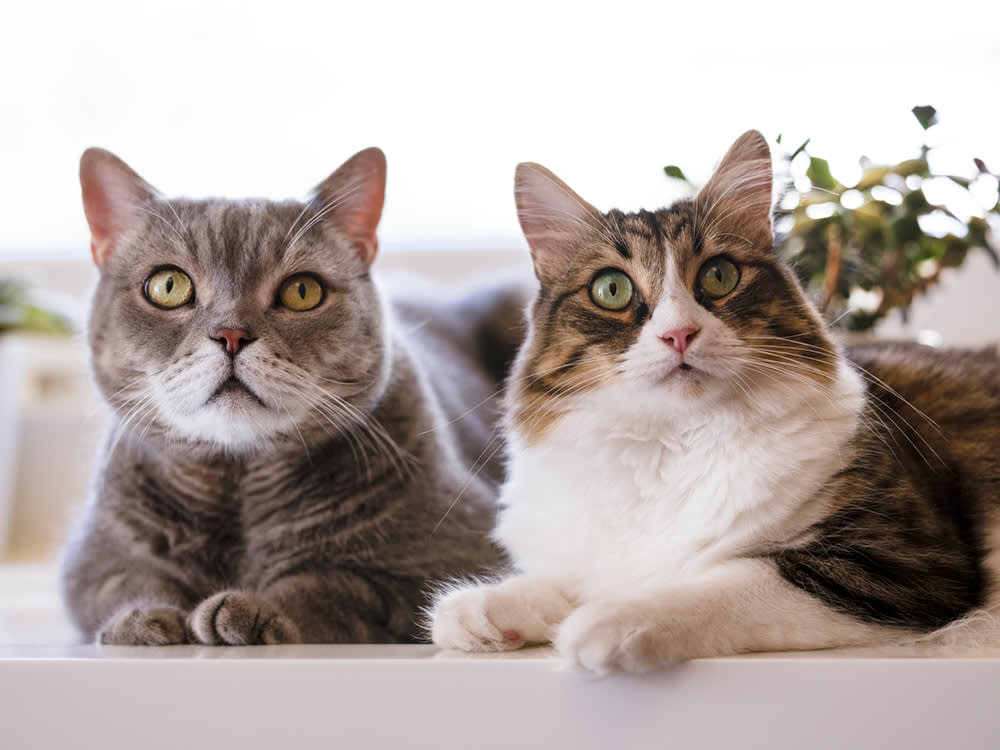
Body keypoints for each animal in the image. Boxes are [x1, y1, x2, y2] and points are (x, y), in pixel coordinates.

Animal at [430, 131, 1000, 676]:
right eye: (611, 289)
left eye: (719, 275)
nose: (679, 334)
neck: (669, 442)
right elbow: (565, 580)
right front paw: (483, 608)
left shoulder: (897, 563)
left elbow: (722, 582)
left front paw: (611, 619)